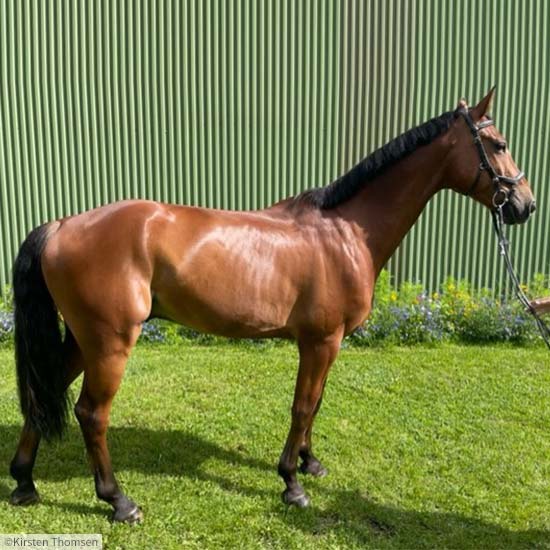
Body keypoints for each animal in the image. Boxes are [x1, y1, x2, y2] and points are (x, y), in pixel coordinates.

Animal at [9, 89, 536, 523]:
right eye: (498, 144)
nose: (525, 205)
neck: (344, 230)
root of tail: (62, 226)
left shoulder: (327, 344)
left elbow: (317, 404)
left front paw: (310, 462)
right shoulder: (320, 342)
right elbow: (302, 407)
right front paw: (292, 484)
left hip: (84, 341)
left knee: (43, 392)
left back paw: (23, 481)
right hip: (111, 343)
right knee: (91, 413)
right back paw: (119, 501)